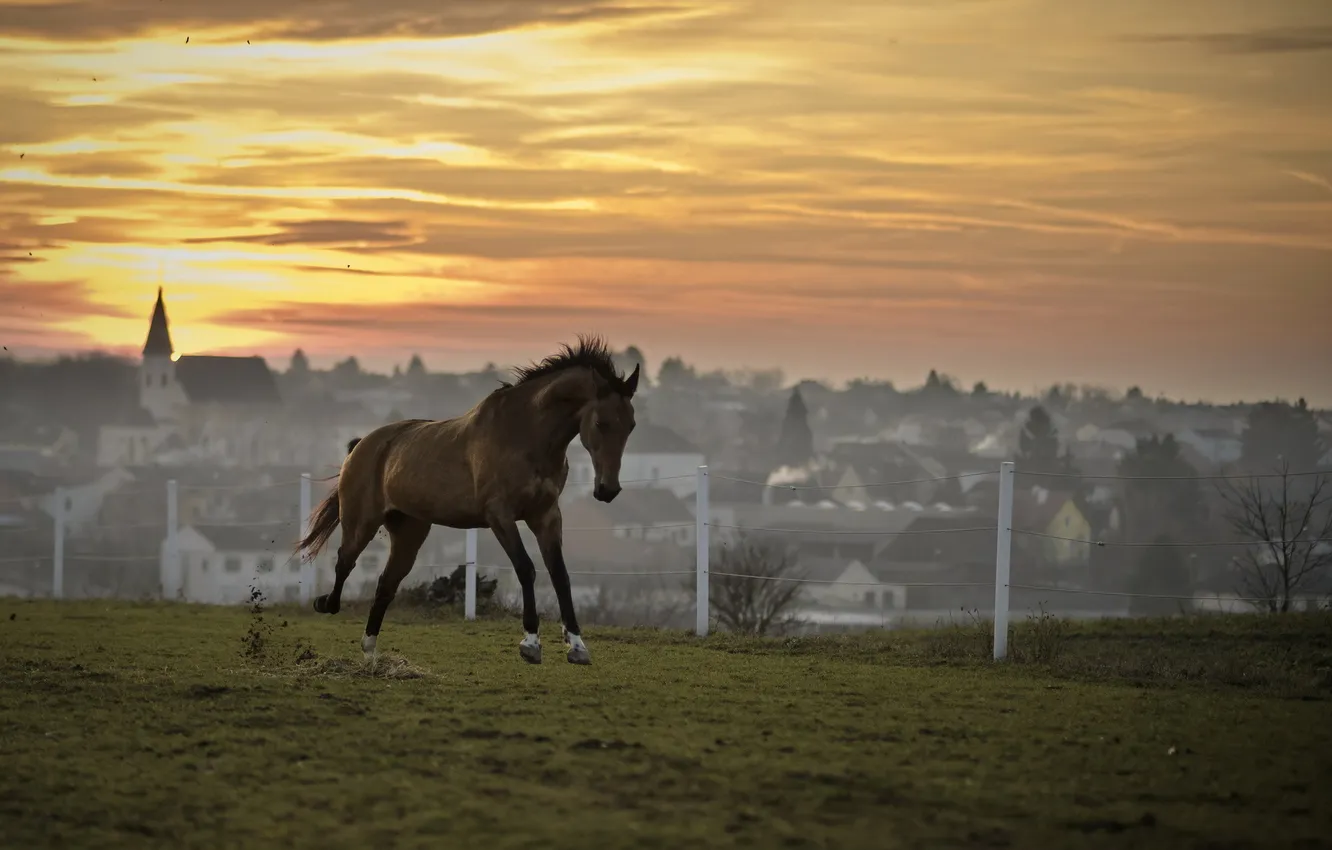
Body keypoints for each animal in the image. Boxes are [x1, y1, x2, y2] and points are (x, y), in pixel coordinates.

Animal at [293, 335, 639, 666]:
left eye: (631, 425)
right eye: (601, 423)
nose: (607, 490)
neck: (525, 435)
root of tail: (359, 446)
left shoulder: (546, 515)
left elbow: (560, 575)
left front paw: (577, 646)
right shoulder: (500, 516)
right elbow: (526, 568)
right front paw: (530, 644)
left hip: (409, 532)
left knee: (385, 584)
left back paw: (370, 653)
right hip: (361, 522)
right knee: (344, 562)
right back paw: (325, 604)